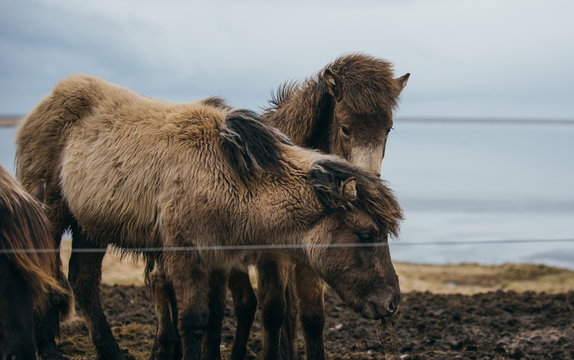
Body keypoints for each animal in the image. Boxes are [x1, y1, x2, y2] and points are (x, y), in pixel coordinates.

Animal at [16, 75, 404, 360]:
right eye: (367, 233)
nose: (392, 302)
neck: (228, 175)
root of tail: (49, 98)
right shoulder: (187, 258)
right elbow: (194, 321)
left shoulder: (219, 261)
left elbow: (217, 318)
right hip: (52, 217)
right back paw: (49, 348)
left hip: (90, 229)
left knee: (83, 283)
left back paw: (110, 352)